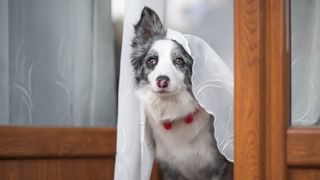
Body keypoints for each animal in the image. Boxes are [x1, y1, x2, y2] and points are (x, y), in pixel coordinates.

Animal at [130, 6, 230, 179]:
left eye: (179, 61)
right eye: (152, 61)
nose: (162, 81)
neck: (175, 111)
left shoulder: (217, 167)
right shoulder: (170, 168)